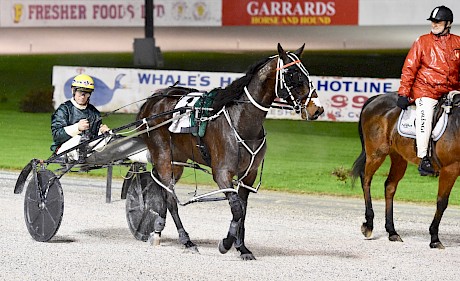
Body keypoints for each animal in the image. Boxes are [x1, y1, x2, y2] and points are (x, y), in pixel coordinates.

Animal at [137, 42, 324, 260]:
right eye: (293, 75)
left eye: (306, 73)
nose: (317, 109)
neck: (241, 121)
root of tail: (154, 99)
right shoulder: (222, 173)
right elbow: (236, 210)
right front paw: (225, 244)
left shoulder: (249, 174)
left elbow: (242, 210)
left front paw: (242, 248)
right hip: (163, 157)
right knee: (170, 198)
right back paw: (186, 240)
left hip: (178, 161)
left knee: (165, 193)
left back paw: (158, 231)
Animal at [352, 91, 460, 247]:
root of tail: (376, 98)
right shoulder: (450, 169)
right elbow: (442, 202)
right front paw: (434, 238)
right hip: (376, 154)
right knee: (366, 180)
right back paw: (369, 225)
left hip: (398, 158)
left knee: (389, 186)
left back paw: (392, 231)